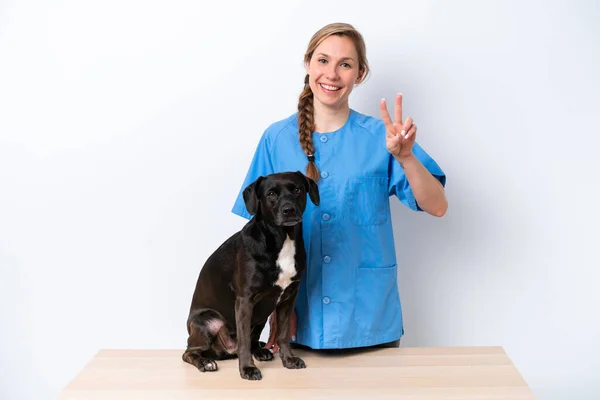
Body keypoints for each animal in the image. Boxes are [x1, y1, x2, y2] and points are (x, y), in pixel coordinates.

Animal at [183, 170, 322, 380]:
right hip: (207, 321)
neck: (282, 239)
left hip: (262, 316)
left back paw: (261, 351)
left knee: (253, 339)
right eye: (271, 194)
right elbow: (244, 340)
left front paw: (289, 359)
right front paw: (248, 368)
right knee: (189, 352)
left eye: (297, 190)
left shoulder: (288, 299)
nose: (288, 210)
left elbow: (282, 334)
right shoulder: (245, 301)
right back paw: (205, 362)